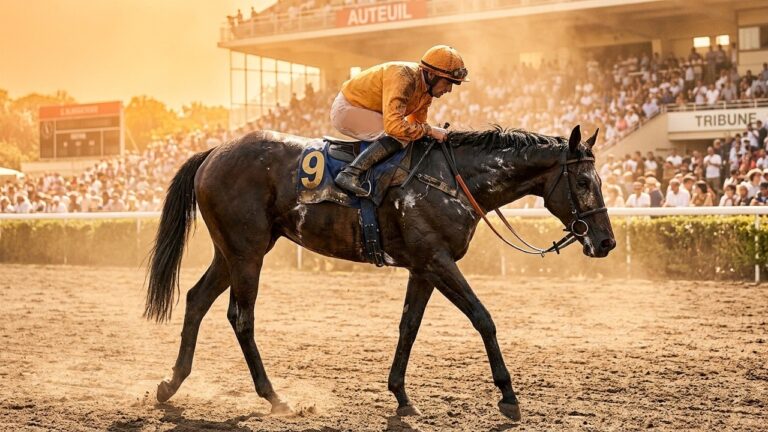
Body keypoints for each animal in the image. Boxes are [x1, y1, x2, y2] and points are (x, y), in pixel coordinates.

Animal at [144, 124, 616, 421]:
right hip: (247, 252)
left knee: (197, 300)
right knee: (241, 317)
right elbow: (483, 318)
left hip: (233, 251)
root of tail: (214, 152)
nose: (606, 242)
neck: (452, 178)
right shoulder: (437, 261)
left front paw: (402, 397)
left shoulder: (424, 268)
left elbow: (409, 327)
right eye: (584, 183)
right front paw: (508, 395)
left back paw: (170, 384)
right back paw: (274, 397)